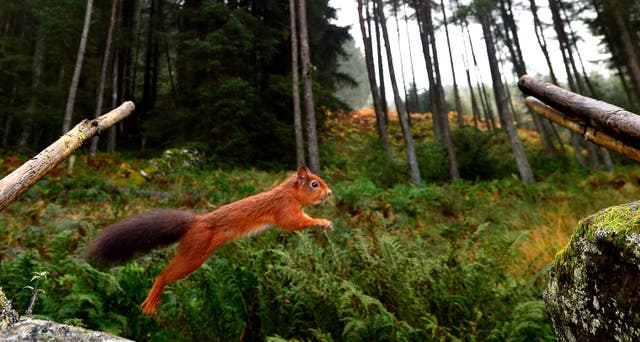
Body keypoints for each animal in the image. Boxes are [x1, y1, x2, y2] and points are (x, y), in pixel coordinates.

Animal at [87, 165, 332, 316]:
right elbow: (295, 223)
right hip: (194, 253)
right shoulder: (285, 210)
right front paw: (323, 221)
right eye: (314, 184)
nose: (329, 193)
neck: (288, 193)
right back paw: (152, 300)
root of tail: (196, 222)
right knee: (164, 275)